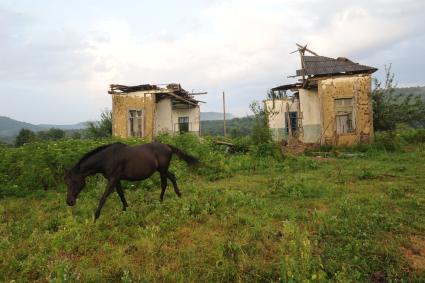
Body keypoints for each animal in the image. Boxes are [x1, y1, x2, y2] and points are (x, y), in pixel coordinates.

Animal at [64, 143, 199, 221]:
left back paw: (161, 201)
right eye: (66, 182)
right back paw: (178, 195)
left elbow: (103, 197)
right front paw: (125, 209)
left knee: (165, 183)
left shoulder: (113, 179)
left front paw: (95, 218)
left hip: (162, 169)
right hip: (162, 170)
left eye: (75, 181)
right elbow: (121, 194)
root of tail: (167, 146)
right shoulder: (116, 179)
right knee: (172, 177)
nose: (69, 201)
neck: (107, 158)